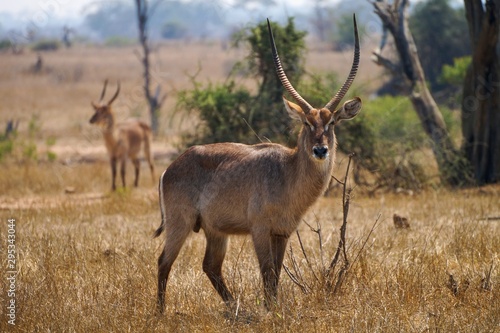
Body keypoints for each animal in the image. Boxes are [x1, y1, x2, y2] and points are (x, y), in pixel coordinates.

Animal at [154, 15, 362, 312]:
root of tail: (171, 167)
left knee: (211, 266)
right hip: (179, 223)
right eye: (306, 122)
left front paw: (273, 308)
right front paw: (271, 311)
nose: (320, 150)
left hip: (215, 230)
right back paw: (161, 313)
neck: (288, 171)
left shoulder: (283, 232)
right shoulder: (260, 230)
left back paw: (235, 309)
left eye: (332, 122)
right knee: (164, 262)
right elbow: (267, 270)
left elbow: (276, 272)